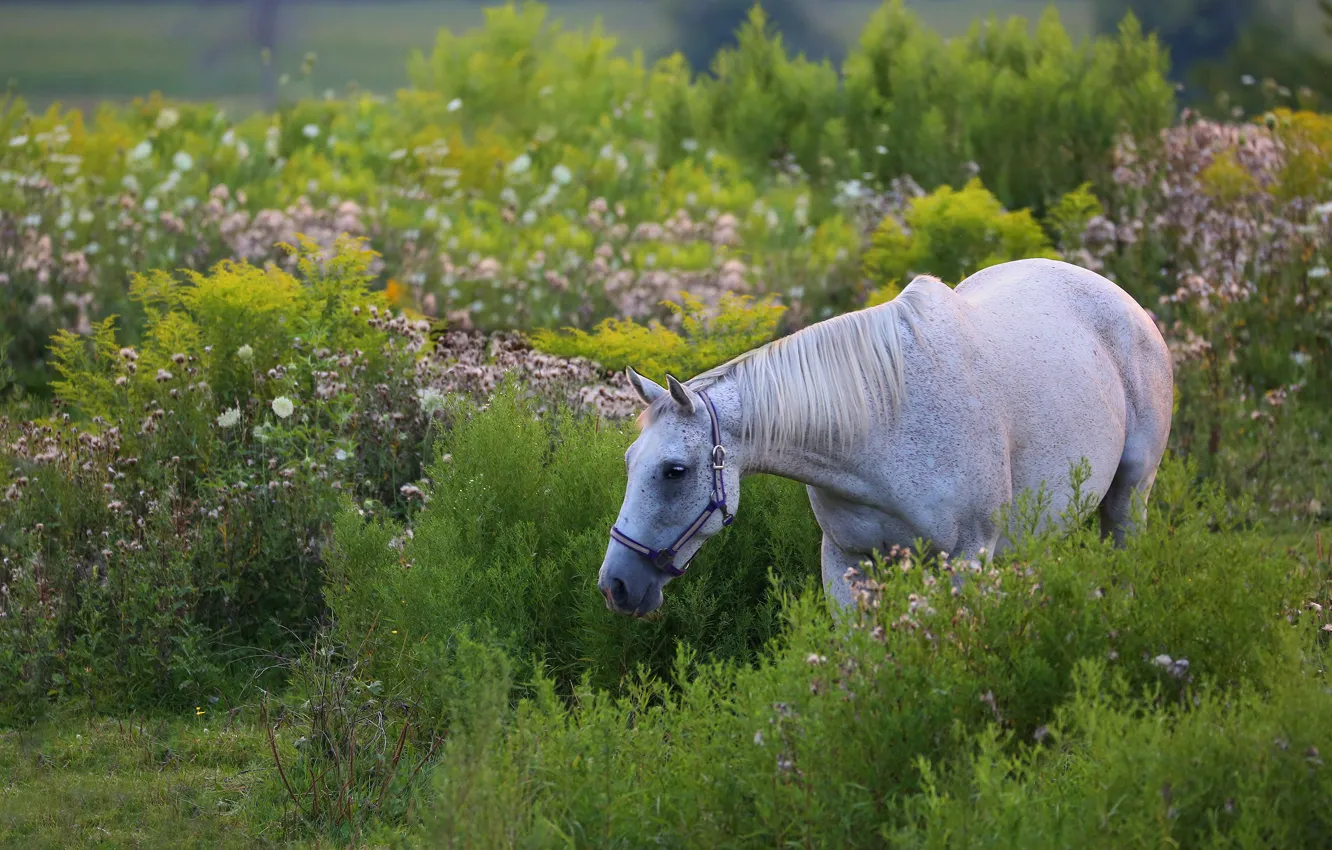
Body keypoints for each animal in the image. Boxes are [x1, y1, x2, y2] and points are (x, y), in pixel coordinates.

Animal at [597, 258, 1174, 617]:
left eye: (675, 471)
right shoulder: (848, 564)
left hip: (1129, 499)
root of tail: (1127, 303)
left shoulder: (965, 561)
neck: (879, 429)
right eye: (628, 461)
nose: (616, 585)